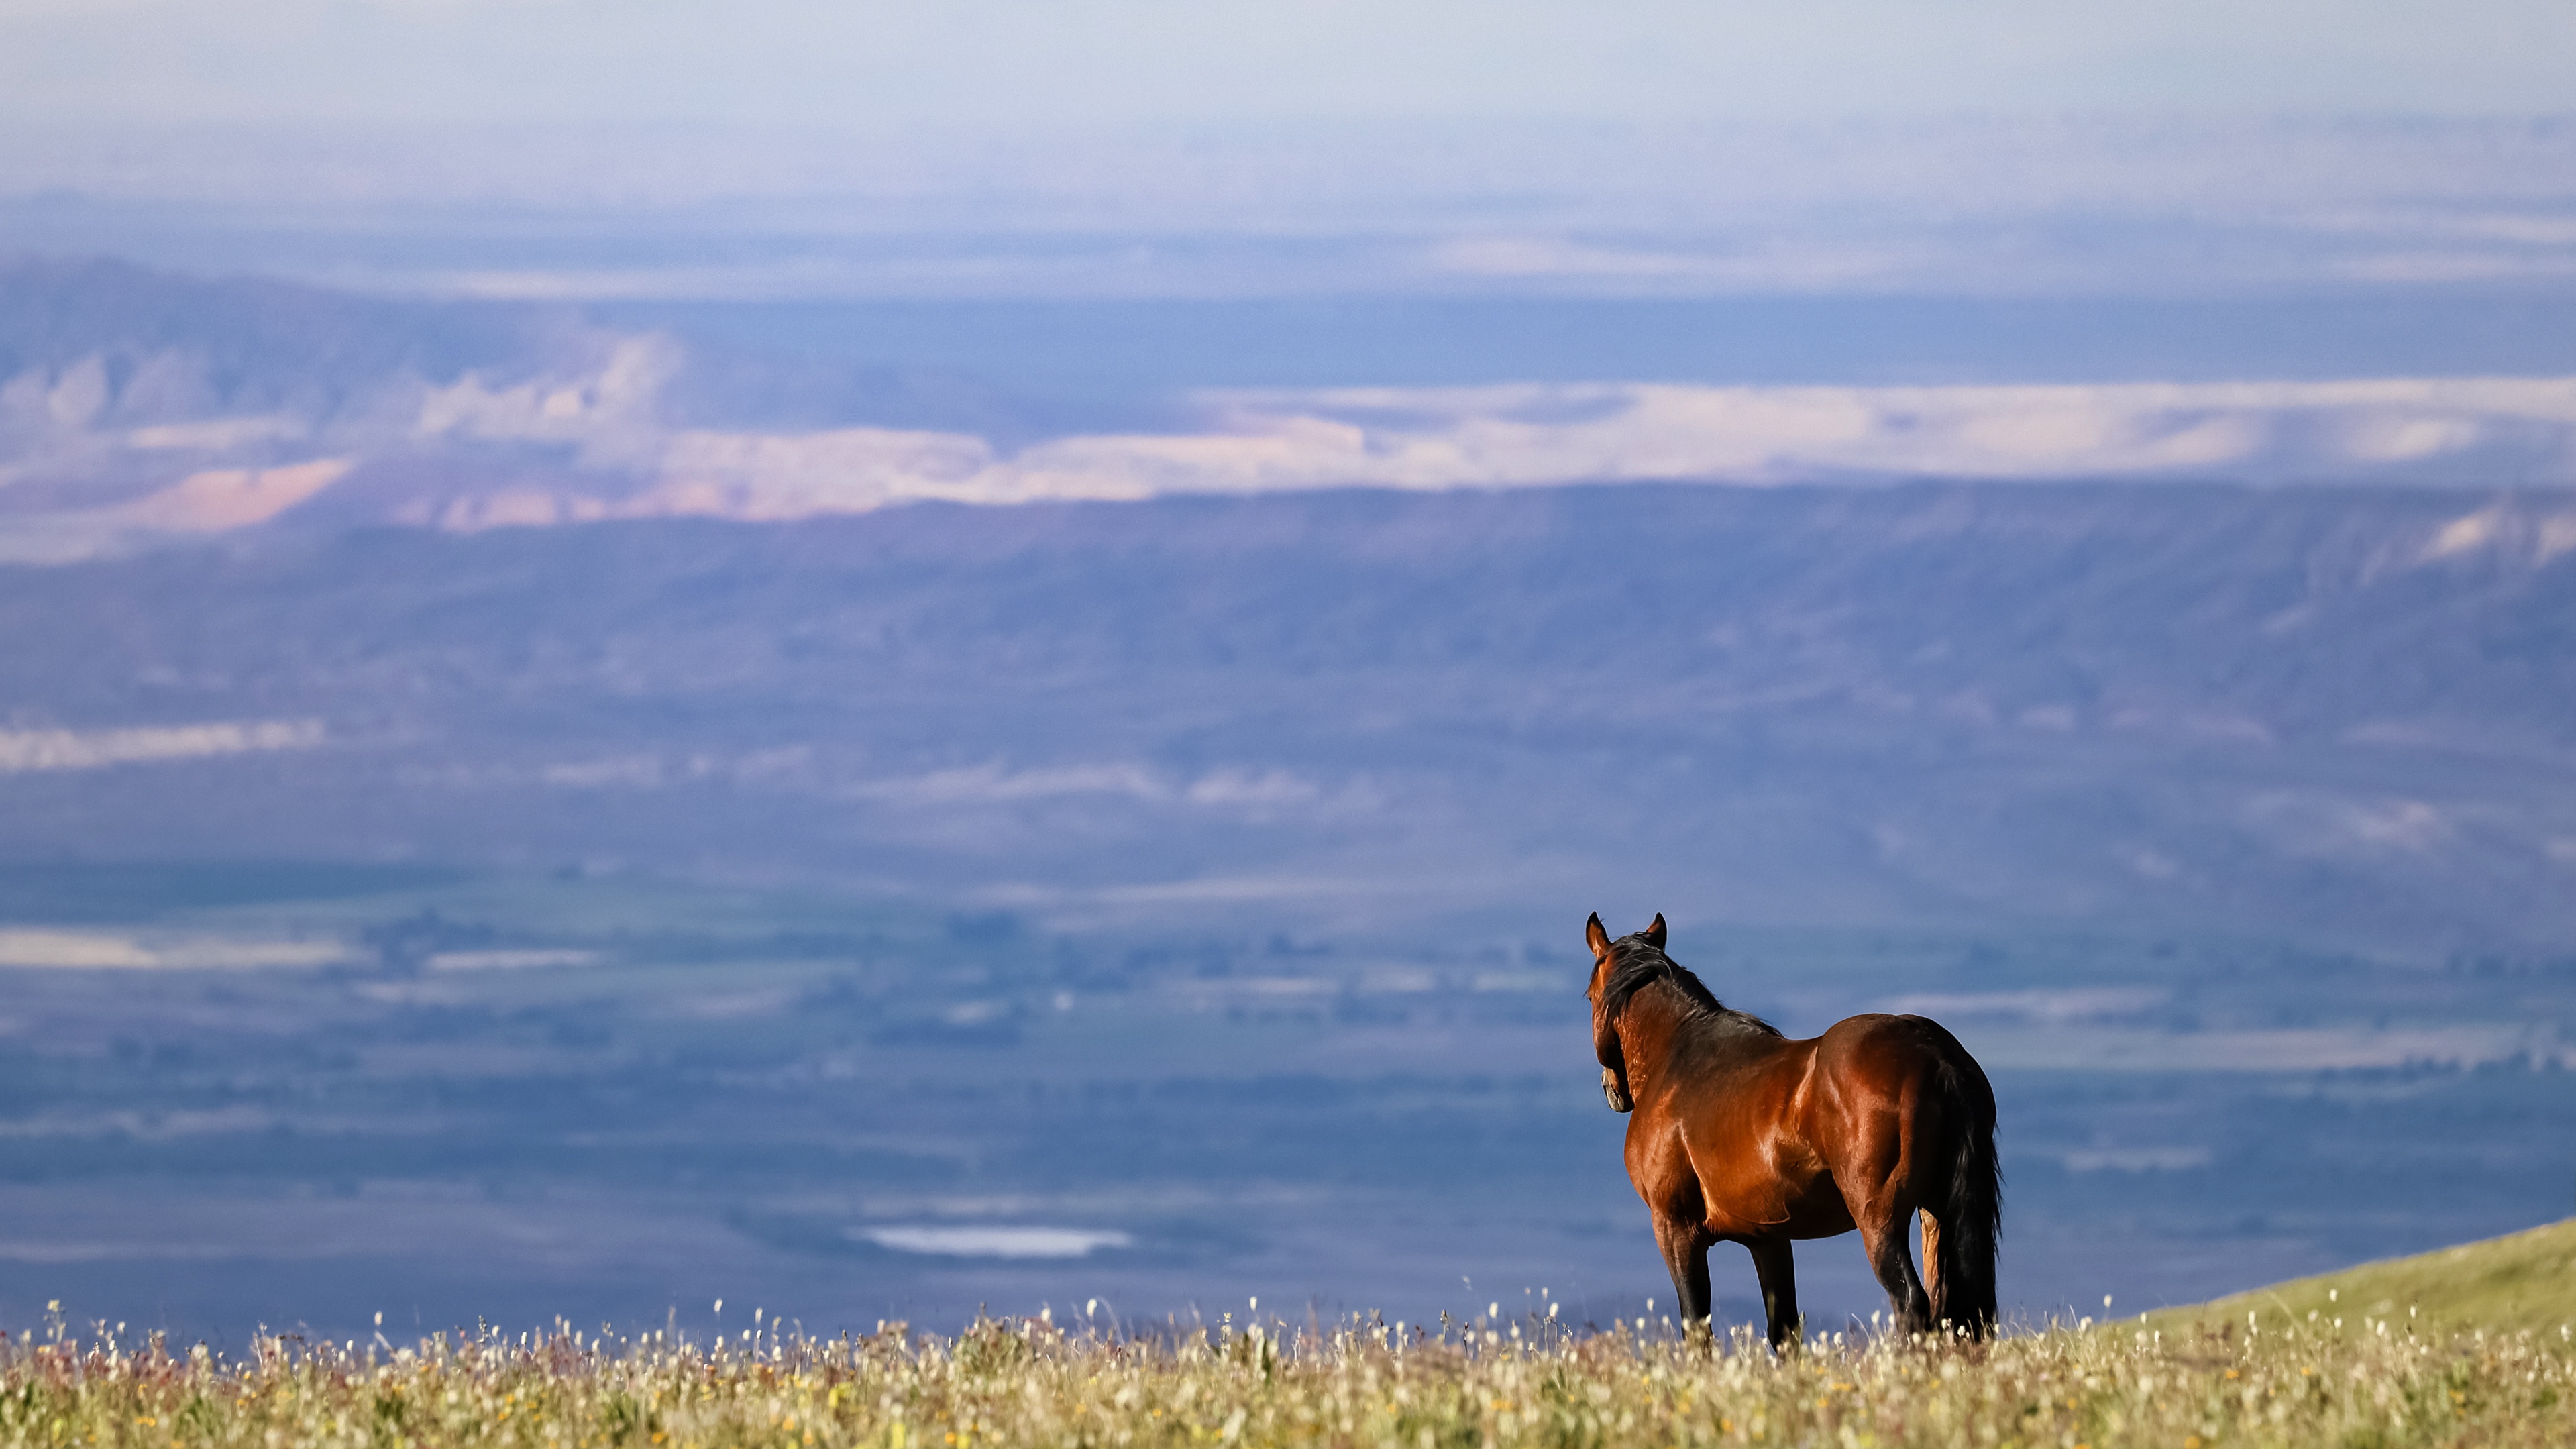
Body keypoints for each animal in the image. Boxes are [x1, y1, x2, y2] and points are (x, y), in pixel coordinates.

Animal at [1576, 912, 1998, 1340]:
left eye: (1590, 997)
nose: (1613, 1091)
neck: (1677, 1059)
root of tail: (1936, 1056)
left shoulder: (1675, 1229)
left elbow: (1697, 1325)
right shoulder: (1769, 1238)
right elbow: (1783, 1328)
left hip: (1880, 1219)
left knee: (1911, 1301)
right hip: (1936, 1215)